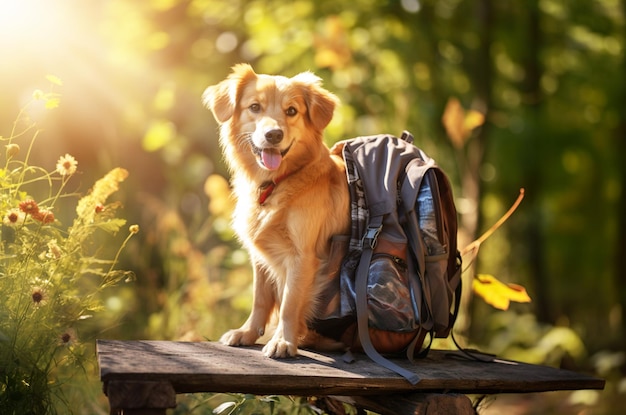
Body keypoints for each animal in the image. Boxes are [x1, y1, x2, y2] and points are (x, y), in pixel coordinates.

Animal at [205, 64, 352, 358]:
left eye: (291, 111)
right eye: (254, 107)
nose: (274, 135)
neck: (276, 183)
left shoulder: (302, 255)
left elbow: (289, 303)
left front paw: (283, 341)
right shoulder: (261, 256)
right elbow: (260, 299)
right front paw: (247, 332)